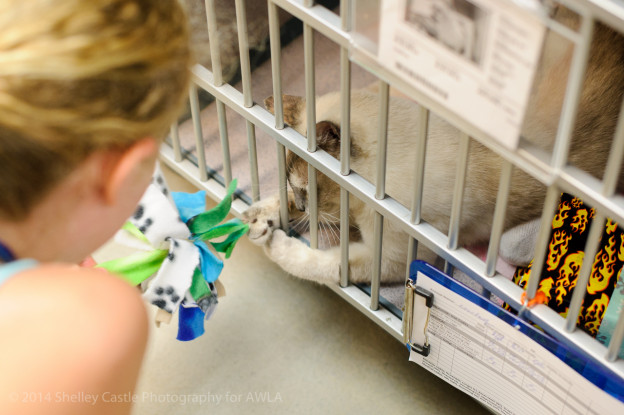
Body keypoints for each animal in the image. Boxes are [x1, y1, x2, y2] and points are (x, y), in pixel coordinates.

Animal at [240, 5, 624, 286]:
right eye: (298, 189)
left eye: (310, 189)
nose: (305, 207)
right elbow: (276, 203)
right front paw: (255, 219)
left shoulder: (391, 256)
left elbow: (319, 263)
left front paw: (275, 242)